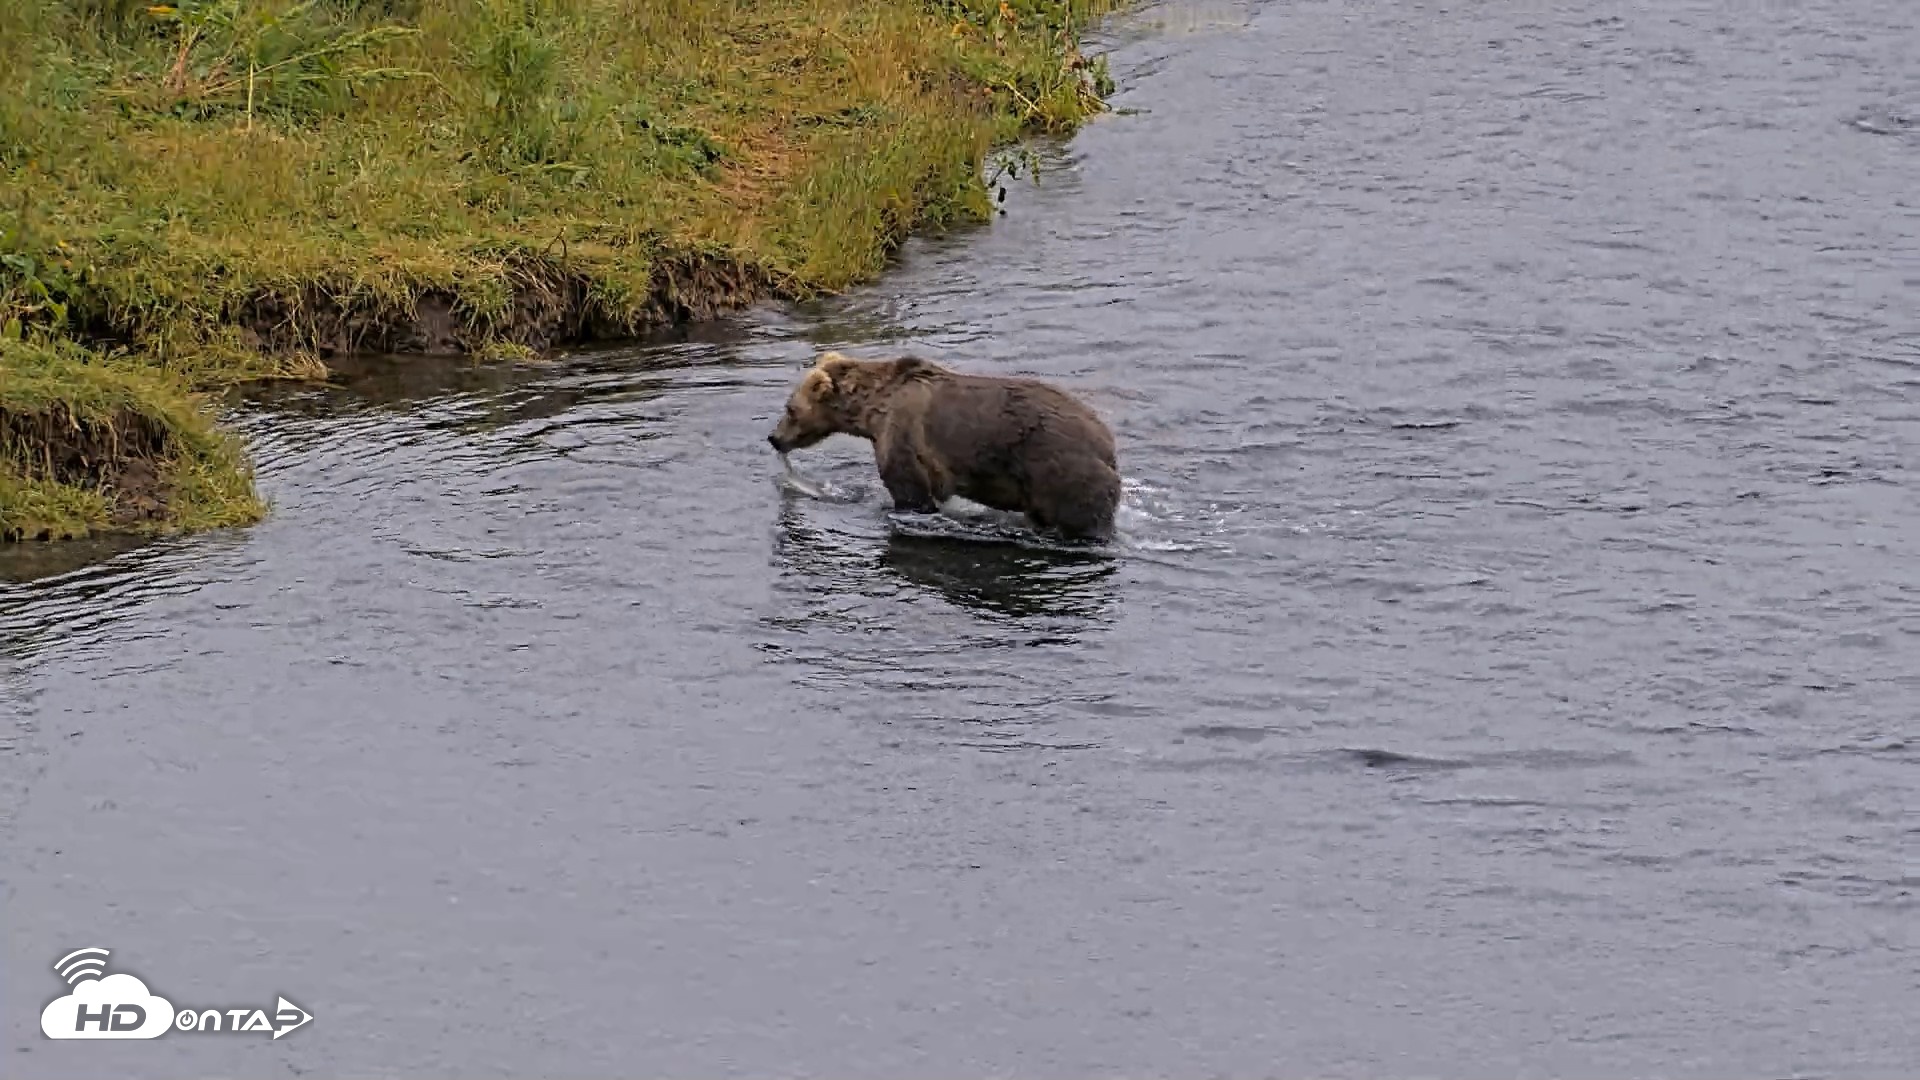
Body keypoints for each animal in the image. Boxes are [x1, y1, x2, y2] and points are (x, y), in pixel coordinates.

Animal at [767, 350, 1123, 542]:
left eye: (789, 408)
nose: (773, 437)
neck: (873, 409)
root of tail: (1107, 444)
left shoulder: (904, 435)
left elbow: (910, 491)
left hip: (1059, 469)